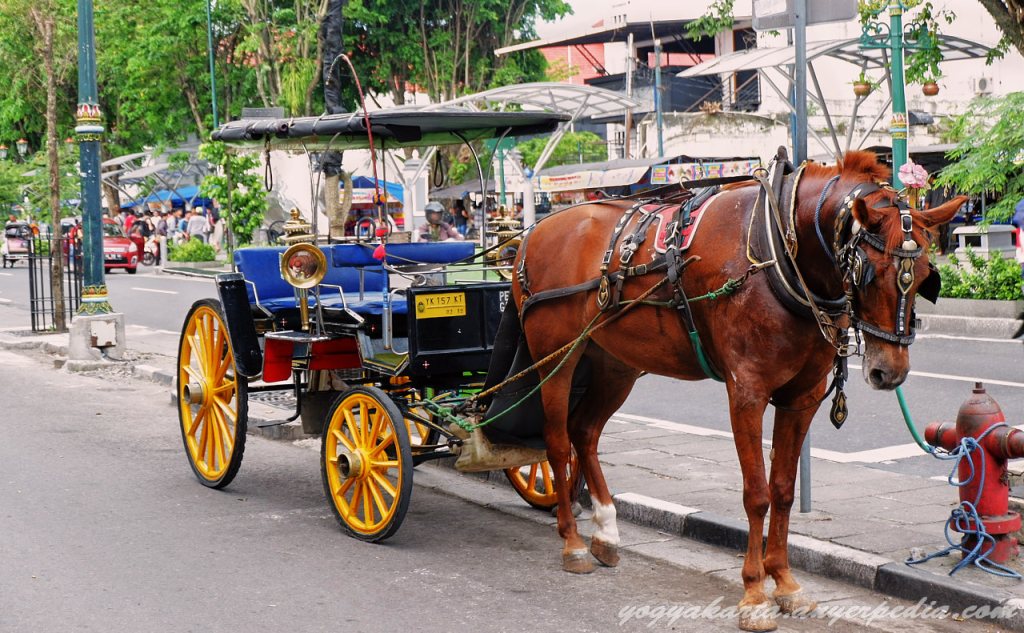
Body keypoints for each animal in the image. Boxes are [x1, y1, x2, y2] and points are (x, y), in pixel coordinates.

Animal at [516, 150, 962, 626]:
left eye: (924, 277)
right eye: (869, 274)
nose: (889, 372)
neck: (781, 249)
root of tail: (535, 232)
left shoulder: (801, 398)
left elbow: (783, 490)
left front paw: (785, 582)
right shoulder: (746, 393)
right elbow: (757, 495)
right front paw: (753, 593)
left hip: (615, 363)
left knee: (585, 432)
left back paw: (606, 532)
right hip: (557, 357)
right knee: (556, 441)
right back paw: (573, 542)